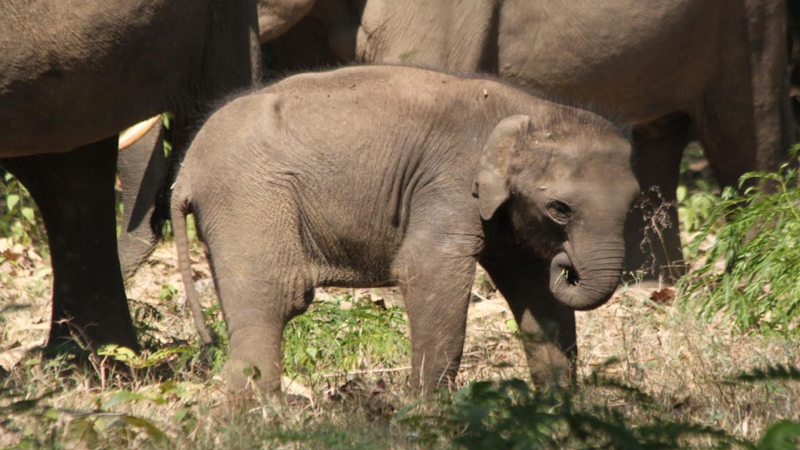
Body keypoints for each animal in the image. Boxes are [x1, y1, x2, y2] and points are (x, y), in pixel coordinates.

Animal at [172, 65, 640, 393]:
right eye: (560, 208)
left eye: (633, 203)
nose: (567, 264)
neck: (530, 111)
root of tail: (185, 171)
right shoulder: (448, 182)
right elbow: (428, 270)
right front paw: (427, 413)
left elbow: (537, 294)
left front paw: (558, 413)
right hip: (249, 197)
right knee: (276, 298)